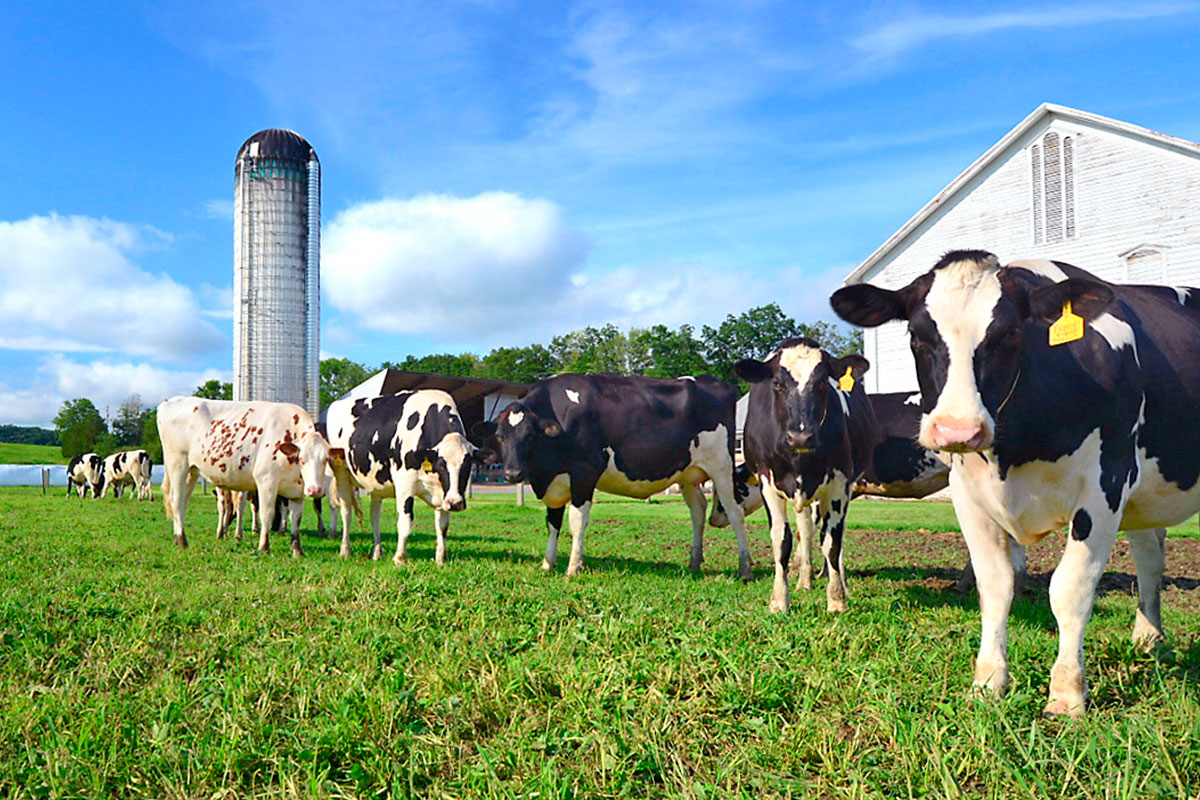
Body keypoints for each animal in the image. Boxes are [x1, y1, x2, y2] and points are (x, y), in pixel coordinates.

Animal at [158, 395, 348, 556]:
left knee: (182, 502)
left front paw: (297, 550)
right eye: (302, 459)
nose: (314, 490)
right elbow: (267, 514)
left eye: (325, 459)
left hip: (192, 471)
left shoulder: (297, 491)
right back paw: (182, 541)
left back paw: (178, 538)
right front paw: (264, 547)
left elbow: (296, 519)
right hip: (177, 464)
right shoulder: (266, 480)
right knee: (176, 500)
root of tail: (168, 403)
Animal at [331, 393, 480, 563]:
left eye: (467, 465)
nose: (455, 503)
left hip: (376, 484)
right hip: (341, 473)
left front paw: (441, 559)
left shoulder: (443, 492)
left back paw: (377, 553)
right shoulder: (405, 482)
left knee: (375, 516)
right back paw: (345, 551)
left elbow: (443, 525)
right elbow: (405, 521)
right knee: (346, 512)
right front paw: (400, 558)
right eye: (442, 465)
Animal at [470, 371, 744, 578]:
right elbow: (552, 522)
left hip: (722, 467)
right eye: (500, 437)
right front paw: (548, 563)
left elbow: (576, 521)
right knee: (698, 510)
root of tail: (717, 382)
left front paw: (573, 567)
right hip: (688, 474)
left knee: (735, 512)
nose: (512, 473)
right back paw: (695, 563)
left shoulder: (585, 473)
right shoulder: (554, 482)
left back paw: (745, 568)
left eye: (530, 436)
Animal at [729, 338, 873, 614]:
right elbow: (781, 540)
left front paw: (837, 599)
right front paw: (779, 600)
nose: (800, 437)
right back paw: (805, 580)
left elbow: (831, 541)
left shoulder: (839, 483)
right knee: (804, 530)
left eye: (822, 383)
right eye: (777, 384)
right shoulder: (767, 482)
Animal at [830, 247, 1176, 714]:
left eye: (1009, 334)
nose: (957, 430)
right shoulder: (968, 494)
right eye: (917, 336)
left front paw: (1067, 694)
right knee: (1150, 556)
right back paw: (1149, 640)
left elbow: (1070, 589)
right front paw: (988, 682)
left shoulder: (1107, 483)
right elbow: (995, 584)